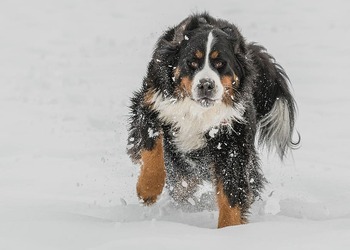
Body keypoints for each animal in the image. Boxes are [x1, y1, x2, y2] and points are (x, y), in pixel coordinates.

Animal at [126, 12, 298, 229]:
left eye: (220, 64)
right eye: (192, 63)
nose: (206, 85)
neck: (197, 111)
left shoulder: (231, 140)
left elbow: (231, 192)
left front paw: (229, 230)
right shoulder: (151, 105)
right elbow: (151, 147)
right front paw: (148, 189)